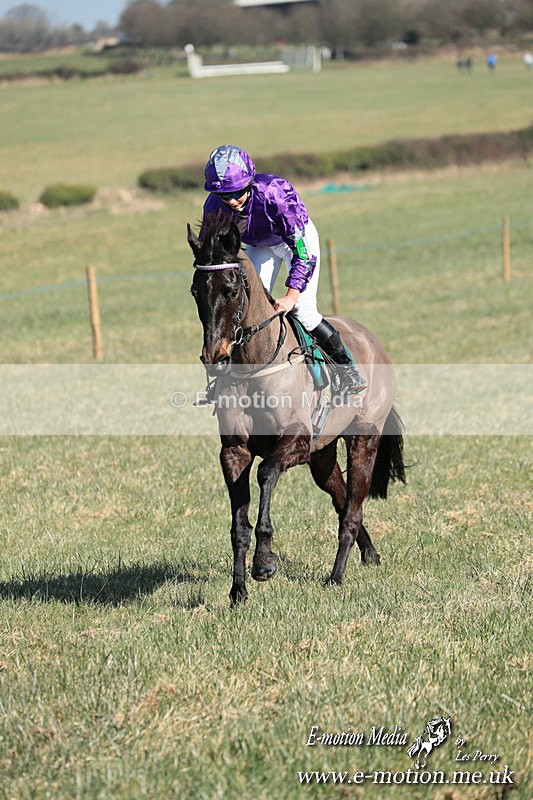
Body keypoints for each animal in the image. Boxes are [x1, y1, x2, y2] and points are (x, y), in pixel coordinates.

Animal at [188, 212, 406, 606]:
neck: (255, 362)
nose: (215, 357)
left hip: (363, 438)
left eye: (231, 290)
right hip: (322, 455)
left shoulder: (297, 441)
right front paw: (238, 591)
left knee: (352, 507)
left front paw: (264, 562)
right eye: (196, 291)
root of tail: (372, 340)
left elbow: (266, 474)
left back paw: (336, 576)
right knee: (341, 498)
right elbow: (238, 525)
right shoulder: (235, 451)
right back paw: (370, 554)